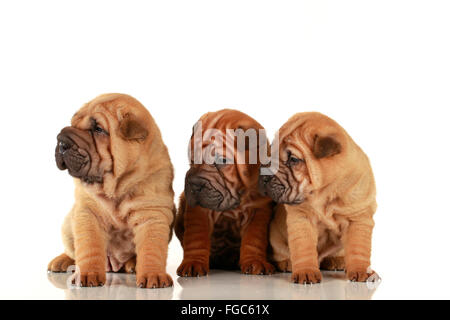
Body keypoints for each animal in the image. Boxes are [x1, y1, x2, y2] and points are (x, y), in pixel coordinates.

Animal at [48, 94, 176, 288]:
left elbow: (151, 249)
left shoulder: (152, 214)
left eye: (98, 129)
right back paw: (62, 261)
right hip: (68, 223)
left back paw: (133, 265)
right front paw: (87, 275)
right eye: (73, 123)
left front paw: (153, 275)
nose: (61, 141)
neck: (117, 185)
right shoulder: (88, 212)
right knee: (72, 251)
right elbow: (89, 246)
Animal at [175, 109, 274, 276]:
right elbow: (196, 237)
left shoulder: (258, 210)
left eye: (221, 161)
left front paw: (255, 262)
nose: (194, 184)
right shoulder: (199, 211)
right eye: (192, 159)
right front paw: (193, 263)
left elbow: (254, 238)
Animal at [258, 112, 378, 282]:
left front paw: (362, 271)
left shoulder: (358, 218)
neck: (325, 193)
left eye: (293, 160)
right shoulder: (301, 218)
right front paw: (305, 272)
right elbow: (303, 247)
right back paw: (287, 263)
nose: (264, 176)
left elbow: (358, 248)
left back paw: (337, 261)